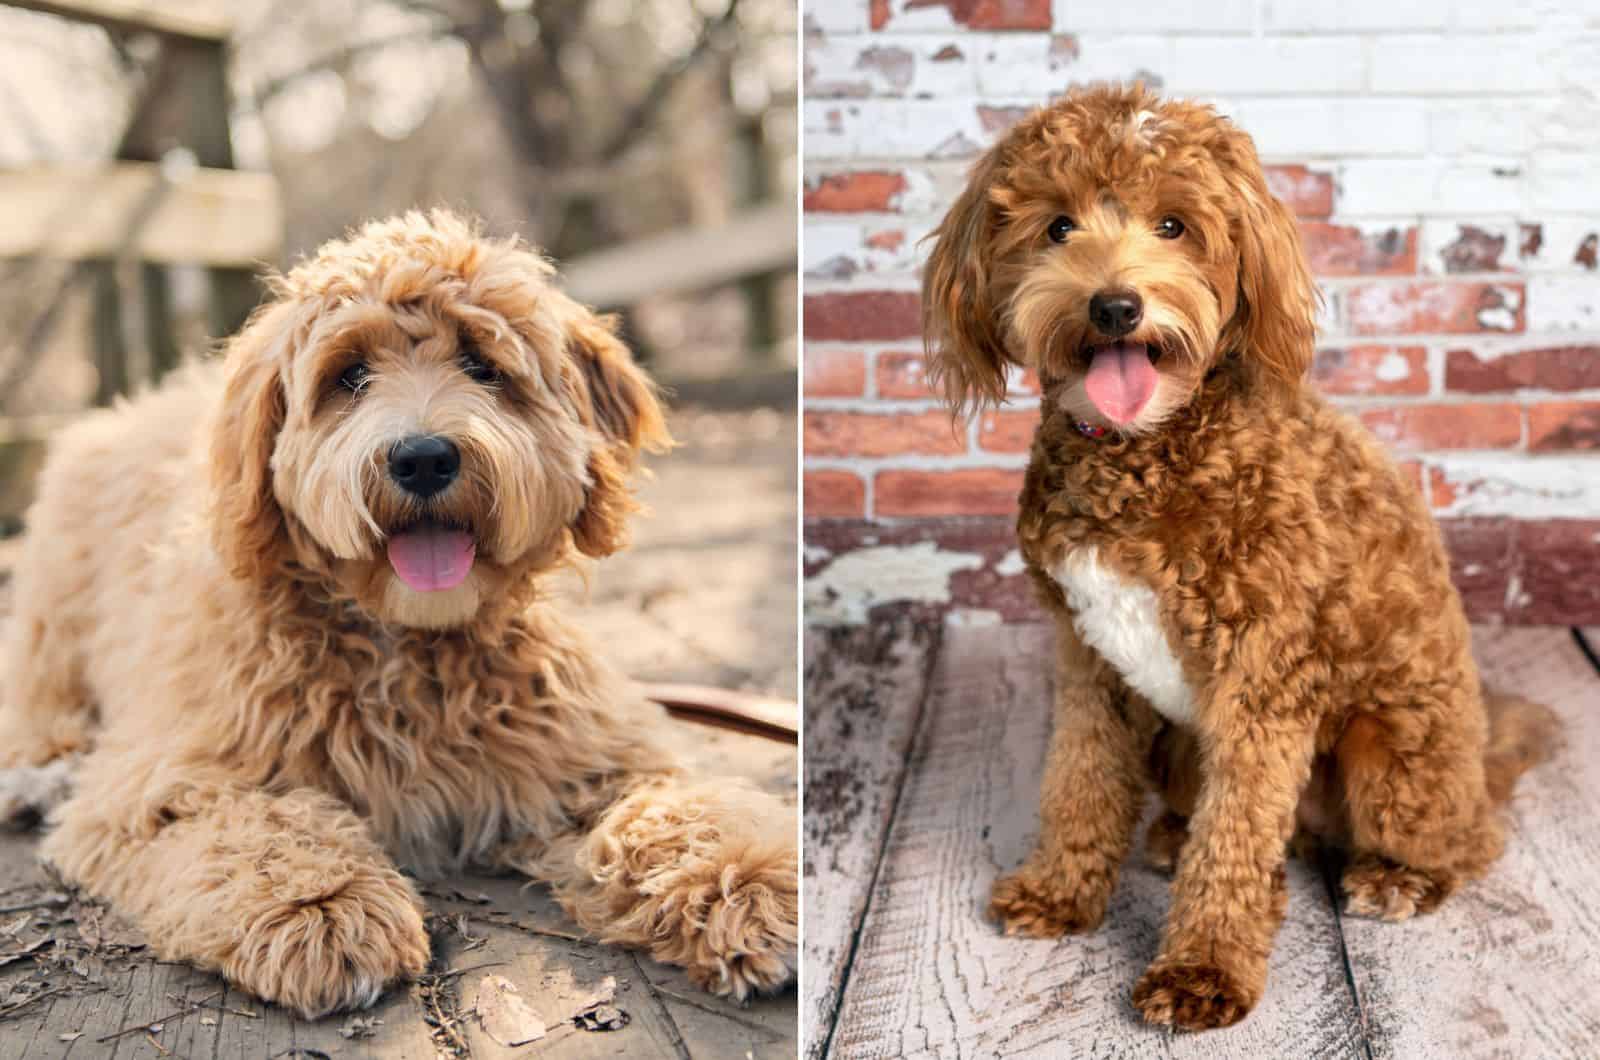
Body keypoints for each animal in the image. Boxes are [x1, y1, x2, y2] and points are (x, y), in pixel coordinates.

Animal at [0, 209, 796, 1024]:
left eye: (483, 364)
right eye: (349, 375)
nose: (422, 458)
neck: (407, 643)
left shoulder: (586, 758)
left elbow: (670, 810)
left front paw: (750, 878)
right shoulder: (161, 783)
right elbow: (249, 825)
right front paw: (323, 906)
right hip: (53, 629)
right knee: (40, 714)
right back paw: (38, 779)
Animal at [921, 87, 1555, 1031]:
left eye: (1174, 224)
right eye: (1058, 226)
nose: (1115, 307)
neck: (1146, 454)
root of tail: (1483, 759)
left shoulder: (1264, 679)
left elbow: (1237, 837)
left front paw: (1203, 969)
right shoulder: (1088, 658)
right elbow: (1079, 779)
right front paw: (1060, 892)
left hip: (1391, 754)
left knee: (1465, 840)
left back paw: (1399, 877)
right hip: (1178, 741)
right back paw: (1169, 837)